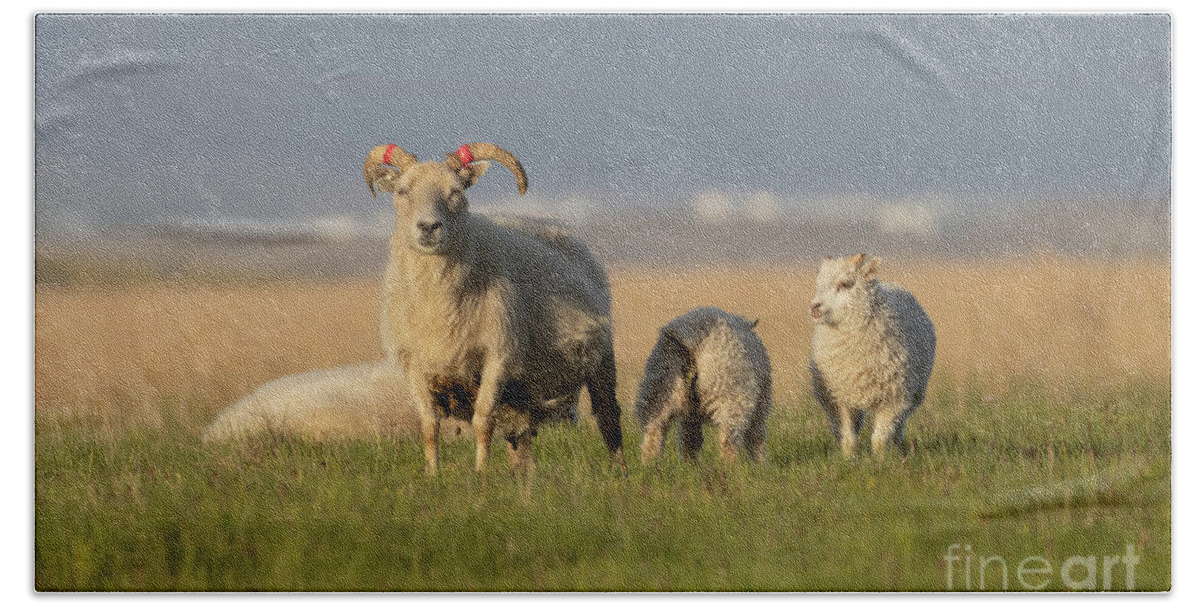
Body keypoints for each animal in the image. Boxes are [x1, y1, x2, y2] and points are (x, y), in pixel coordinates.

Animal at [364, 143, 628, 474]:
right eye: (402, 191)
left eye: (456, 192)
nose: (428, 227)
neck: (439, 307)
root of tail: (558, 227)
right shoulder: (413, 363)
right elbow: (429, 425)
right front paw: (432, 474)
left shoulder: (498, 357)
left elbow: (482, 421)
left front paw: (481, 475)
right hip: (521, 394)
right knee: (520, 437)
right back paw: (524, 477)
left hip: (602, 360)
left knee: (608, 415)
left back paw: (620, 471)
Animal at [633, 306, 772, 462]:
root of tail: (691, 340)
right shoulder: (761, 404)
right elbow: (757, 439)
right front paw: (760, 464)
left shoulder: (690, 413)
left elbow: (690, 440)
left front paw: (690, 464)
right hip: (731, 397)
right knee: (729, 440)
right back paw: (730, 466)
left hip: (658, 387)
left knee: (654, 432)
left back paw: (651, 464)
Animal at [806, 251, 936, 455]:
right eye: (819, 283)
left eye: (845, 284)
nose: (814, 307)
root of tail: (894, 284)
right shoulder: (839, 399)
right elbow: (848, 437)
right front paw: (848, 458)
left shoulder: (894, 398)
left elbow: (879, 440)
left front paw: (881, 460)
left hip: (912, 394)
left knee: (899, 427)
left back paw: (898, 450)